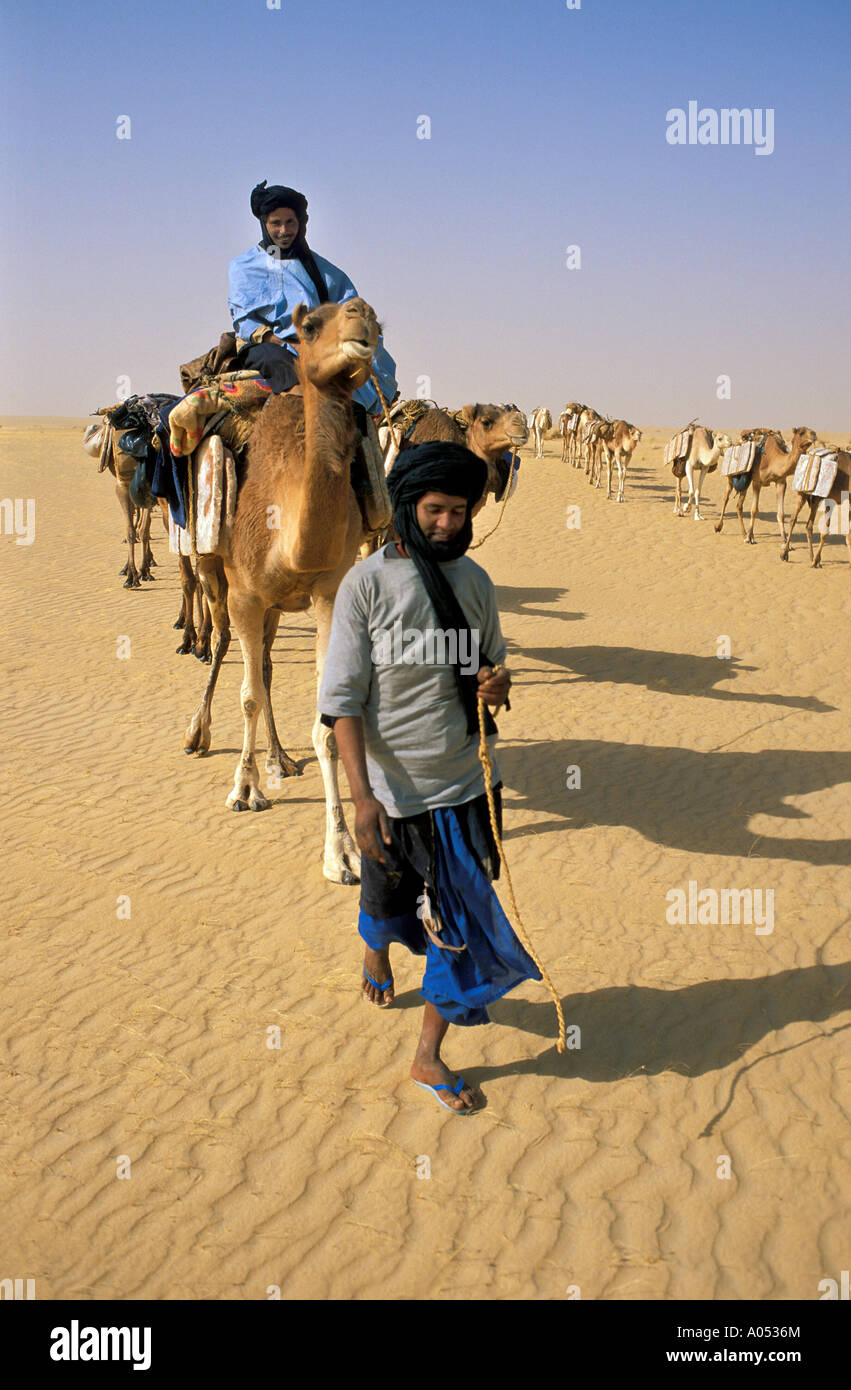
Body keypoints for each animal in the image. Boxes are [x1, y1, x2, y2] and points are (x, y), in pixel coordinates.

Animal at [184, 296, 386, 878]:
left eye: (375, 319)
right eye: (311, 326)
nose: (362, 316)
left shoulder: (328, 593)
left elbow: (326, 720)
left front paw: (342, 850)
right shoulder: (246, 594)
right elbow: (248, 696)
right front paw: (244, 790)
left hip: (275, 606)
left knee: (269, 664)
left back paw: (280, 757)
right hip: (216, 574)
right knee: (227, 647)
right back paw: (201, 735)